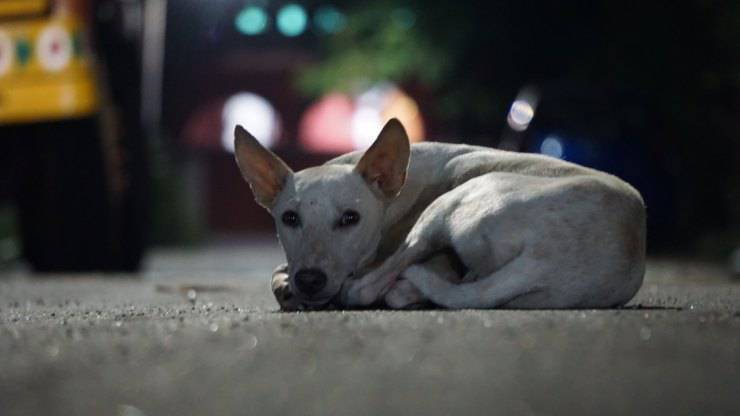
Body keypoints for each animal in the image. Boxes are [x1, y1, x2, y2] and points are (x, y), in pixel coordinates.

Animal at [234, 118, 644, 308]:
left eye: (350, 218)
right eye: (290, 219)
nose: (310, 280)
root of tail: (544, 260)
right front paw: (288, 286)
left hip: (449, 204)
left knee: (372, 286)